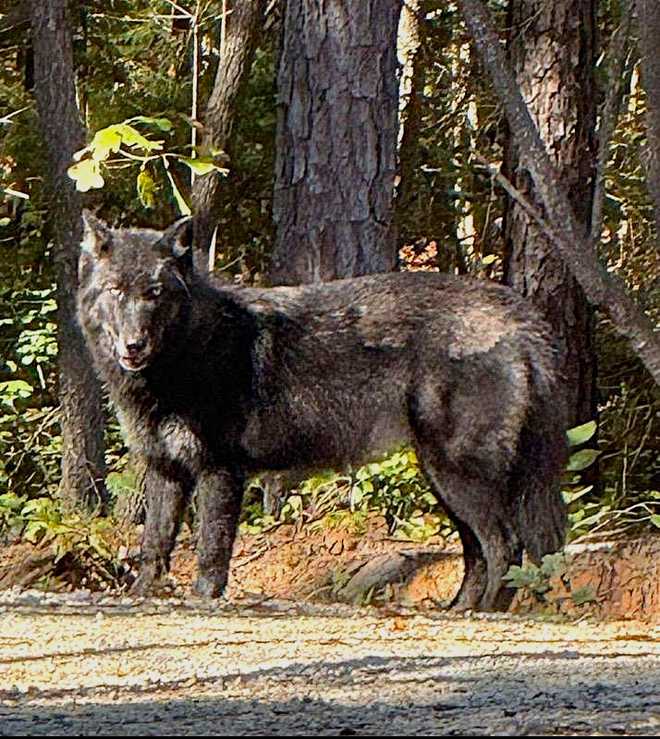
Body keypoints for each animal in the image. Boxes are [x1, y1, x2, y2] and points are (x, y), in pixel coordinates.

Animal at [75, 214, 564, 612]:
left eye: (154, 294)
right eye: (116, 291)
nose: (133, 345)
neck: (188, 355)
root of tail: (521, 315)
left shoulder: (220, 471)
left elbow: (211, 549)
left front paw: (203, 599)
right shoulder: (166, 469)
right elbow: (154, 543)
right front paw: (143, 595)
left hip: (458, 475)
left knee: (505, 544)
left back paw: (490, 610)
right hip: (444, 480)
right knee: (479, 551)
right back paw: (461, 609)